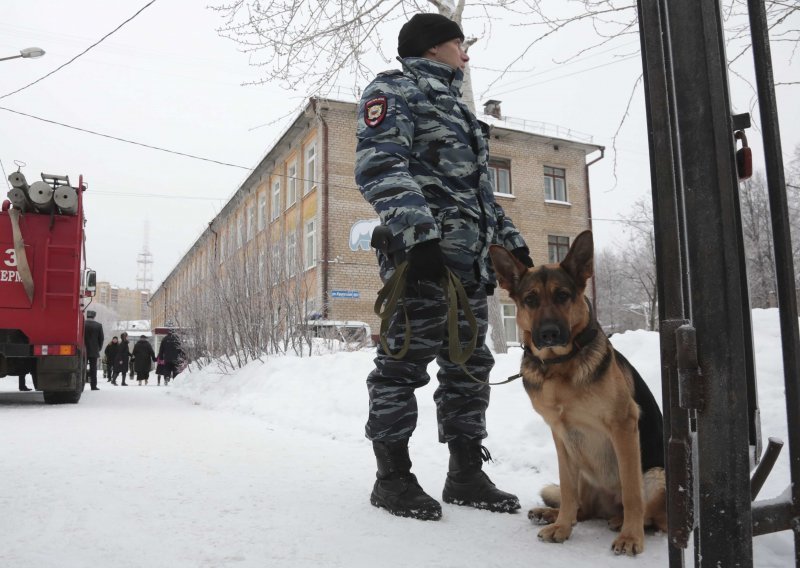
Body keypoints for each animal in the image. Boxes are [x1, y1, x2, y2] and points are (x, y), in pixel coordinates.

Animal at [490, 230, 664, 556]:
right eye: (530, 300)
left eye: (562, 296)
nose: (548, 334)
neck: (560, 367)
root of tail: (607, 506)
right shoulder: (560, 435)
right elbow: (567, 490)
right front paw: (562, 527)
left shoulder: (623, 426)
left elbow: (632, 492)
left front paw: (631, 537)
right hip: (581, 465)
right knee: (581, 507)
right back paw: (553, 514)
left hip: (657, 474)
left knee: (652, 515)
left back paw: (622, 522)